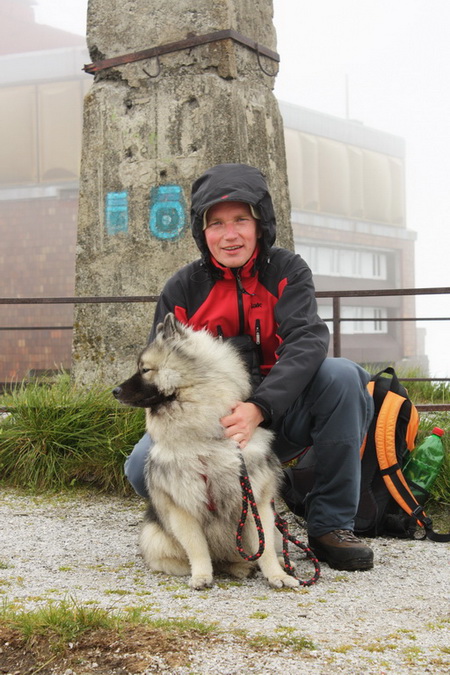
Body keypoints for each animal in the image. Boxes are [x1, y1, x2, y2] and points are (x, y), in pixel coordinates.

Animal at [113, 314, 298, 588]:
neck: (206, 440)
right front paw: (201, 575)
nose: (114, 391)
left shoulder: (257, 503)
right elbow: (197, 547)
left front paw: (277, 575)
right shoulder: (183, 508)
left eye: (145, 370)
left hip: (274, 527)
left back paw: (282, 564)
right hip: (154, 538)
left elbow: (263, 548)